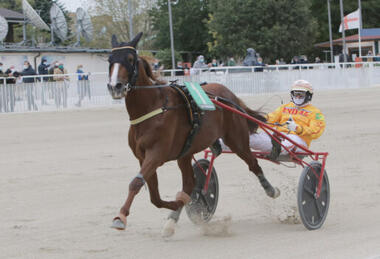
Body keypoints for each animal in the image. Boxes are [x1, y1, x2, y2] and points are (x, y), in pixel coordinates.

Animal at [107, 32, 280, 236]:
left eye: (129, 59)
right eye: (110, 59)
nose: (115, 86)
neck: (153, 108)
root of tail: (228, 95)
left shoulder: (156, 154)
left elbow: (136, 183)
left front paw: (120, 217)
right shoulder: (143, 157)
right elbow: (154, 195)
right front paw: (177, 204)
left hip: (237, 140)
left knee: (253, 164)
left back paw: (271, 189)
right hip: (186, 153)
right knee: (190, 183)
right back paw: (173, 220)